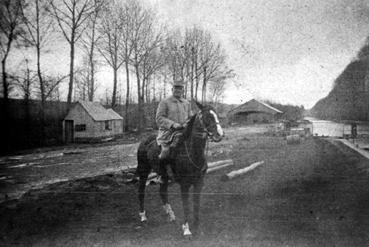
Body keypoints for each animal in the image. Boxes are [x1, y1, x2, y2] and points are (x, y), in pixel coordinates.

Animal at [135, 101, 224, 237]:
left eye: (216, 114)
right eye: (206, 117)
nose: (219, 134)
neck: (192, 153)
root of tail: (144, 140)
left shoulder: (199, 183)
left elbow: (196, 203)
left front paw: (197, 225)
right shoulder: (184, 185)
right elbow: (186, 205)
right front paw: (186, 229)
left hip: (164, 175)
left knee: (162, 191)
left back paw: (171, 215)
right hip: (143, 171)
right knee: (141, 191)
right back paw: (143, 216)